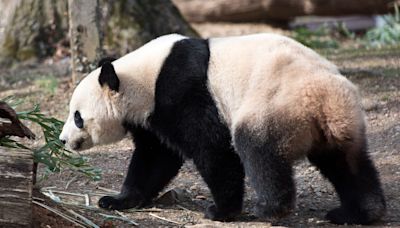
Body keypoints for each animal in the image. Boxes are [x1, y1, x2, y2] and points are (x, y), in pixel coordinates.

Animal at [58, 33, 384, 224]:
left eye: (77, 116)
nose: (62, 140)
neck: (140, 77)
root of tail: (324, 99)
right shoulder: (151, 114)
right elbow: (155, 157)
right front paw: (116, 200)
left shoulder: (180, 90)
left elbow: (212, 148)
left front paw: (222, 210)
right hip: (340, 123)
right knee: (348, 164)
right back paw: (360, 211)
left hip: (276, 103)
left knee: (258, 149)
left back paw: (270, 208)